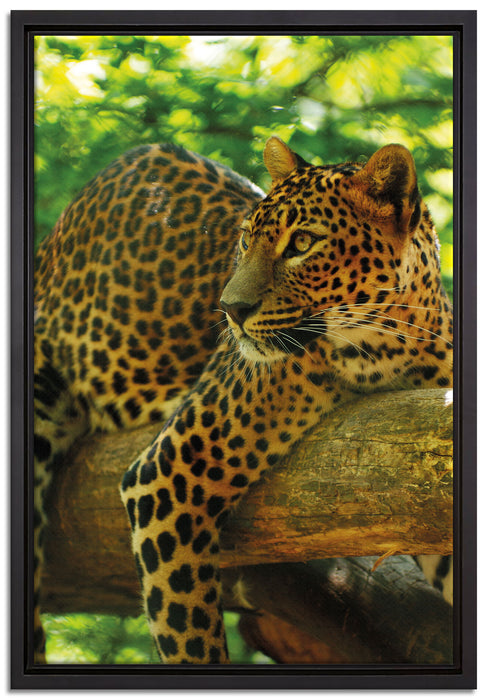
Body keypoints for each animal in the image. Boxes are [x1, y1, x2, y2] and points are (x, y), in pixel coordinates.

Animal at [33, 136, 453, 664]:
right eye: (245, 240)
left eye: (302, 243)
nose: (230, 309)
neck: (388, 348)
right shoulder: (167, 474)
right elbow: (188, 631)